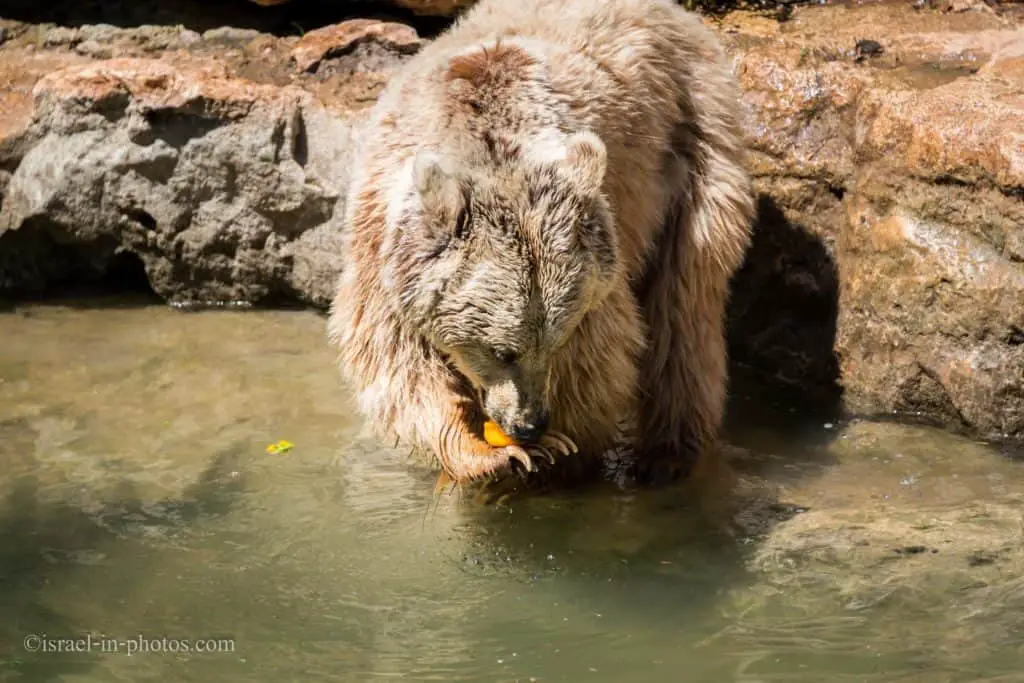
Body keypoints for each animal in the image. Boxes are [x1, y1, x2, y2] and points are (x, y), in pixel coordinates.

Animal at [325, 0, 753, 485]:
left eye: (557, 339)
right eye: (501, 351)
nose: (529, 424)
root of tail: (679, 13)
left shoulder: (597, 267)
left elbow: (599, 362)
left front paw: (558, 450)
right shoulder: (382, 246)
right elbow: (396, 361)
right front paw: (486, 453)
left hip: (693, 140)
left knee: (685, 300)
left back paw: (668, 453)